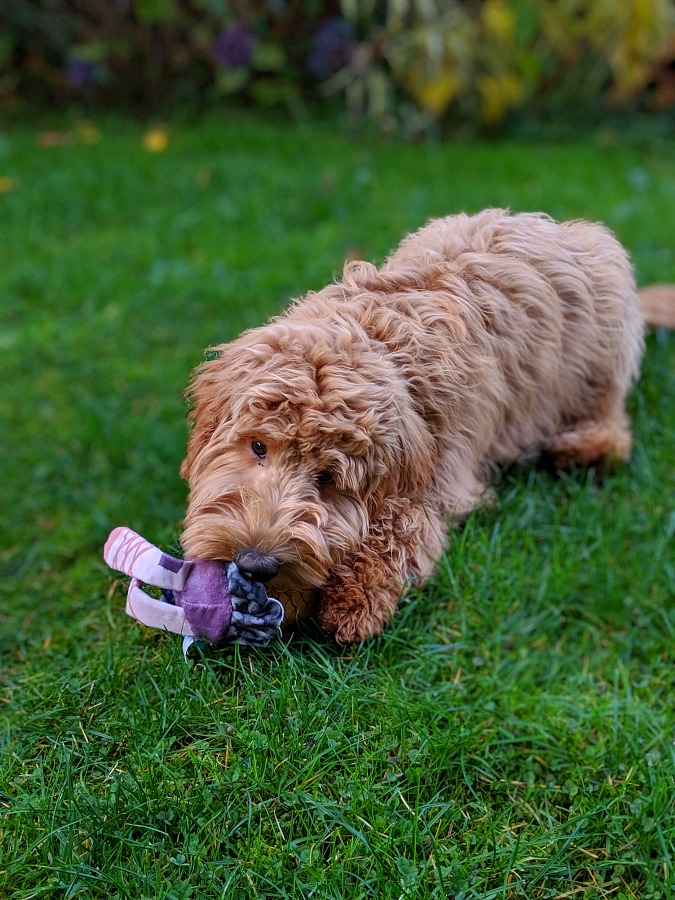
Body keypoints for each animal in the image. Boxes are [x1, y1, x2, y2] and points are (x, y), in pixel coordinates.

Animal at [178, 207, 672, 644]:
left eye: (329, 477)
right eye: (258, 447)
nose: (255, 564)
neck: (379, 338)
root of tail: (560, 228)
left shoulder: (446, 476)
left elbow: (408, 525)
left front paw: (357, 597)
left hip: (599, 346)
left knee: (610, 416)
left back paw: (585, 448)